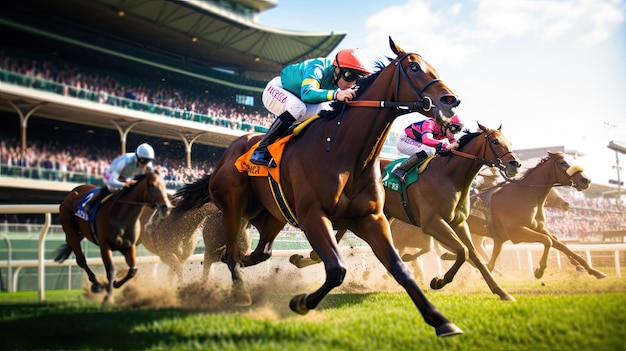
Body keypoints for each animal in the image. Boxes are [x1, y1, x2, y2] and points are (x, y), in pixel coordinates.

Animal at [55, 169, 171, 304]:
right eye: (152, 185)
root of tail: (72, 192)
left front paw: (115, 284)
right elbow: (111, 270)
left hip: (81, 232)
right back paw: (97, 285)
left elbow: (133, 270)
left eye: (165, 185)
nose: (165, 207)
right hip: (70, 229)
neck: (122, 214)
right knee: (81, 260)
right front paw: (108, 297)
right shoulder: (105, 246)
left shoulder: (129, 246)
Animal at [176, 37, 464, 338]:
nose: (451, 101)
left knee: (257, 253)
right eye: (415, 67)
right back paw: (240, 292)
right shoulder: (313, 216)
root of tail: (228, 153)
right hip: (233, 206)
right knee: (232, 253)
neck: (343, 150)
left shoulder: (371, 217)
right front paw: (301, 302)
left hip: (273, 215)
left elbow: (400, 267)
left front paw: (440, 319)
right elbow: (337, 269)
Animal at [464, 152, 604, 280]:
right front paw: (539, 270)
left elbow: (560, 244)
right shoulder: (516, 233)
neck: (524, 196)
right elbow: (547, 241)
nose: (586, 180)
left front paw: (593, 270)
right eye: (563, 162)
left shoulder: (538, 228)